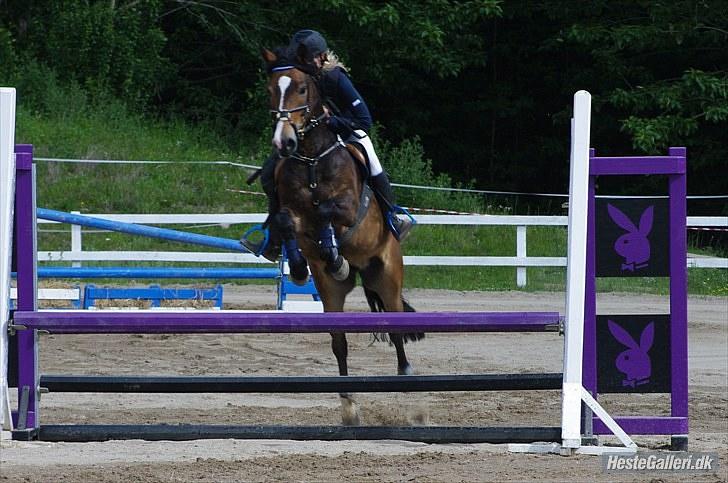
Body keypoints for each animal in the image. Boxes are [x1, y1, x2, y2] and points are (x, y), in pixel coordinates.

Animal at [261, 46, 423, 425]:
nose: (283, 142)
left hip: (387, 274)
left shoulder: (348, 210)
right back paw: (349, 405)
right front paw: (301, 264)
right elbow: (287, 221)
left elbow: (325, 213)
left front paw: (333, 251)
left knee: (396, 328)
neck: (311, 159)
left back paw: (407, 383)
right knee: (339, 340)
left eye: (302, 89)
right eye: (271, 89)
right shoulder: (290, 211)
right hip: (332, 293)